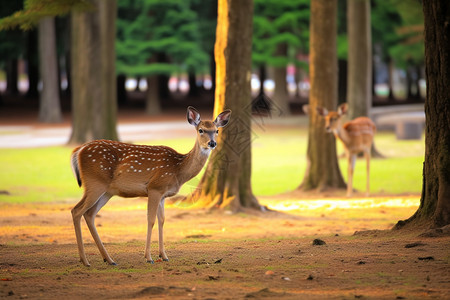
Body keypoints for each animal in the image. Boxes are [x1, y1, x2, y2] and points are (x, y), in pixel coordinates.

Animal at [71, 106, 232, 266]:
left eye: (216, 130)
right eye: (201, 130)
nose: (212, 143)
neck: (178, 170)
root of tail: (78, 151)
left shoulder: (163, 194)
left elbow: (162, 220)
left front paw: (164, 255)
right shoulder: (155, 187)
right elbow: (151, 220)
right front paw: (148, 257)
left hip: (107, 191)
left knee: (90, 214)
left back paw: (109, 259)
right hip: (95, 182)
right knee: (76, 211)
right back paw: (85, 260)